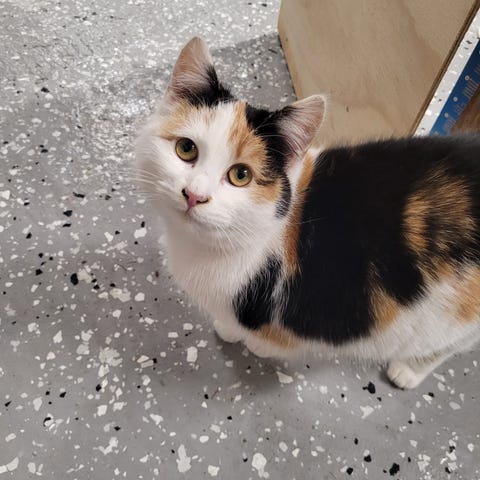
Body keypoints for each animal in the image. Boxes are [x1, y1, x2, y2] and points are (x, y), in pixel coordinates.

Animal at [136, 37, 480, 389]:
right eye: (186, 149)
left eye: (241, 175)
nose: (194, 195)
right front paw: (229, 327)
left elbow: (272, 336)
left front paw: (250, 341)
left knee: (451, 343)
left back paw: (409, 370)